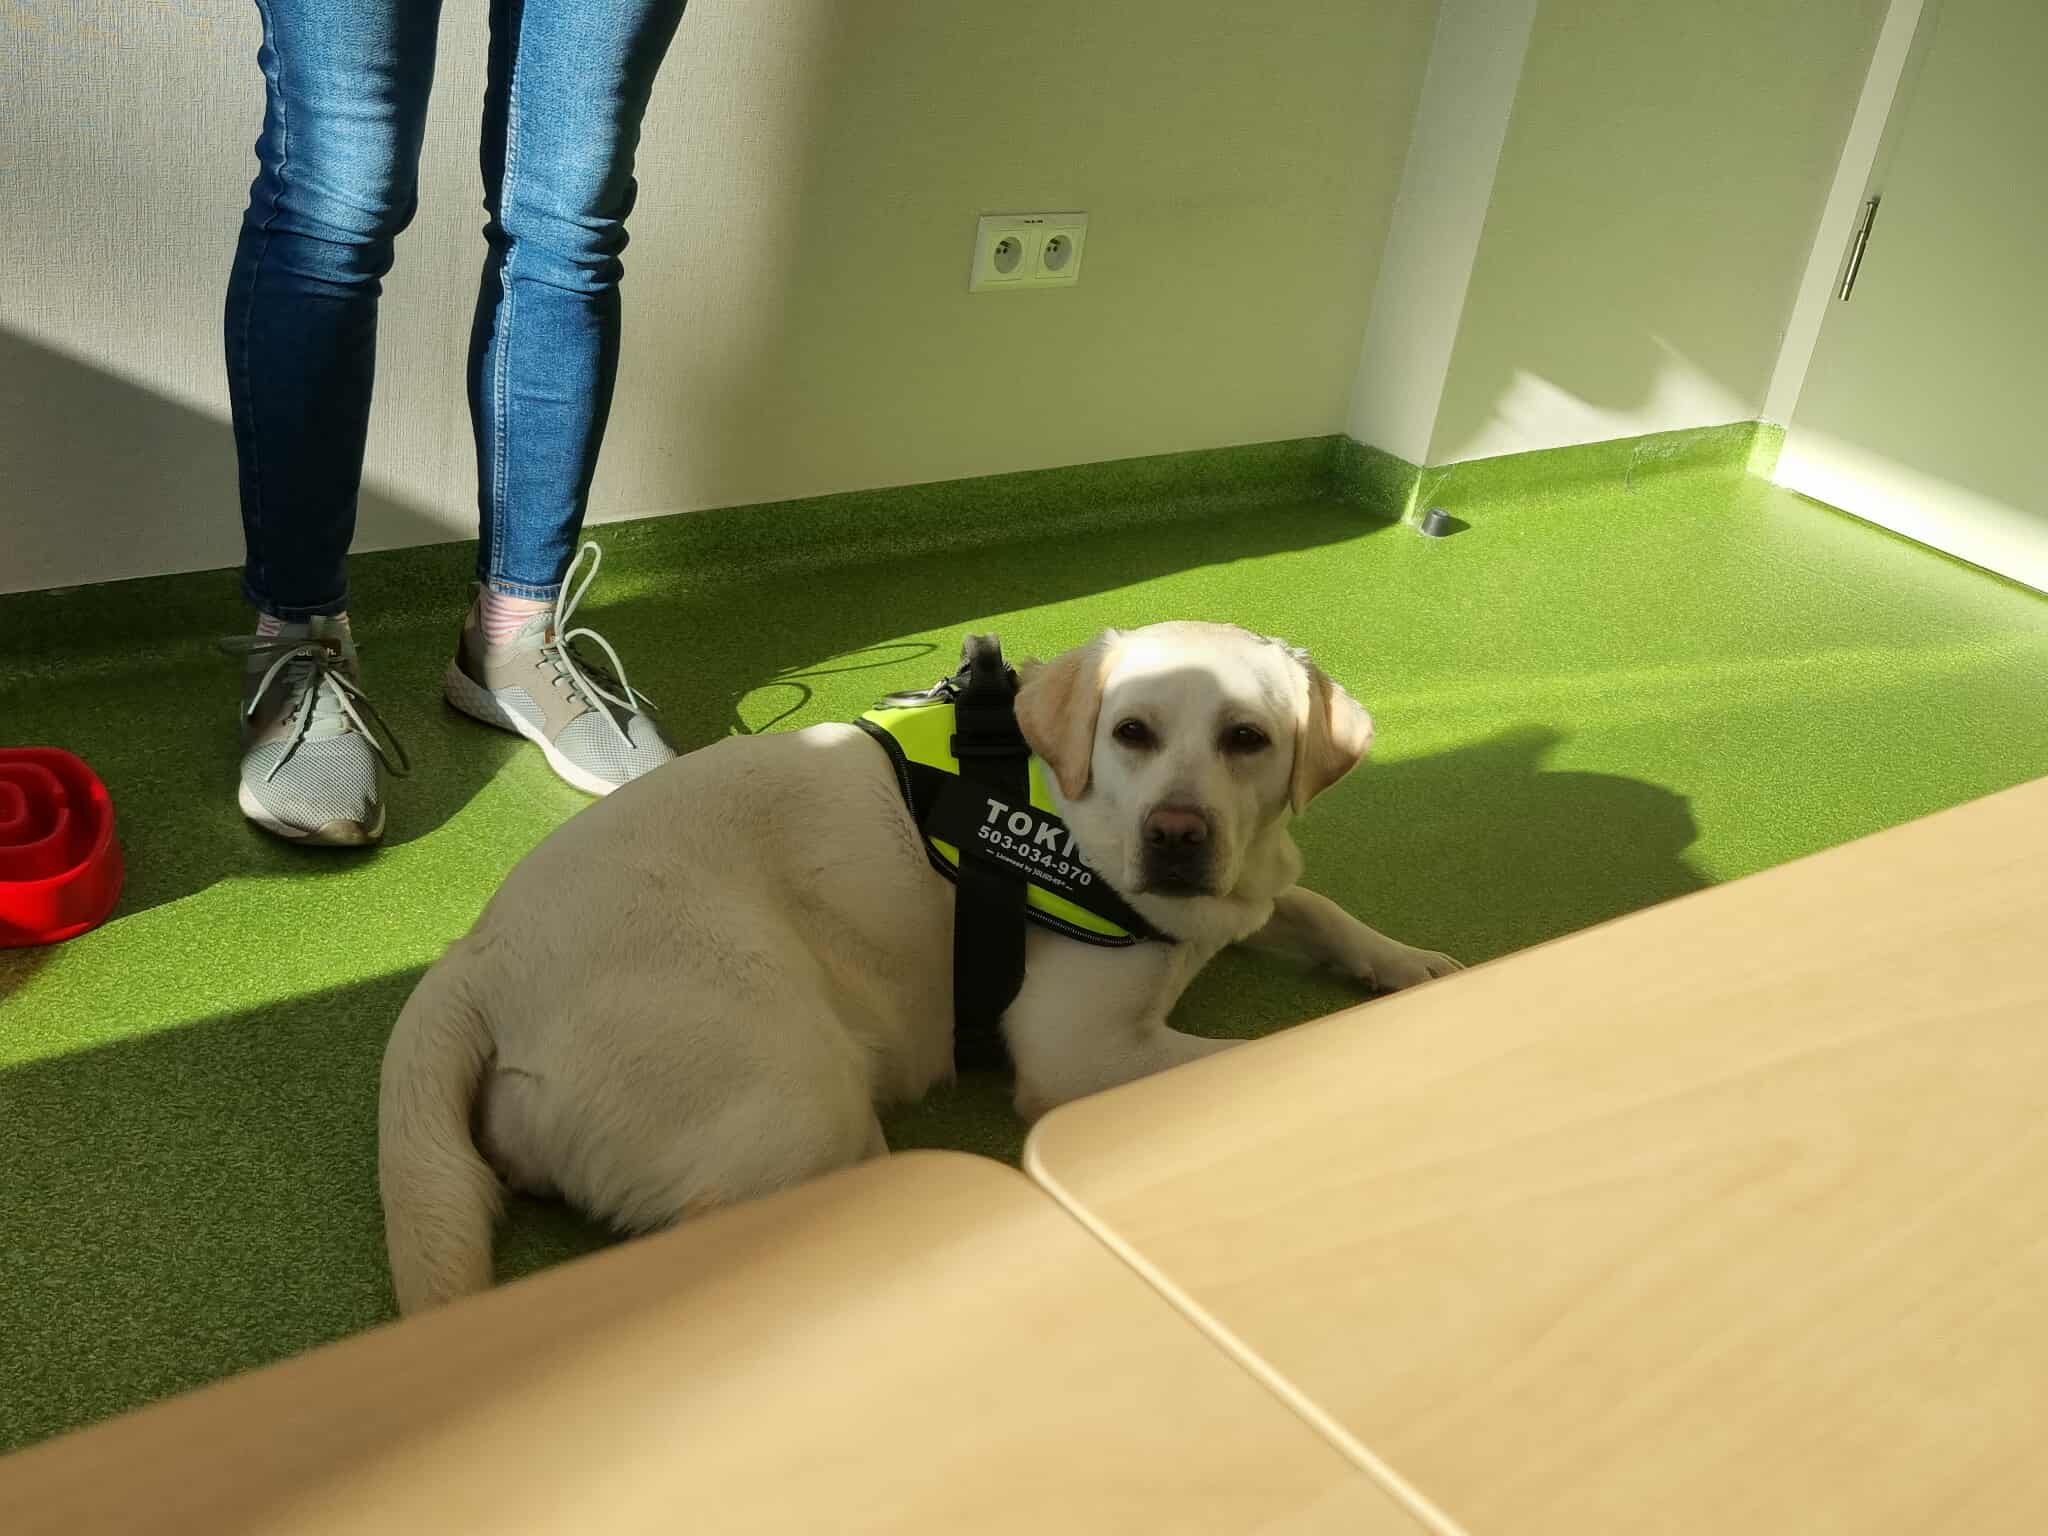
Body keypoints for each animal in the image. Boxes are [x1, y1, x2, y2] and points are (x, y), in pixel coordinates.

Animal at [379, 622, 1460, 1312]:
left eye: (1247, 739)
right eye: (1131, 733)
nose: (1177, 836)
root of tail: (477, 954)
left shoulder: (1251, 890)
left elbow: (1319, 909)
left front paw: (1409, 963)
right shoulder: (1077, 1049)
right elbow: (1247, 1050)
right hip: (793, 1086)